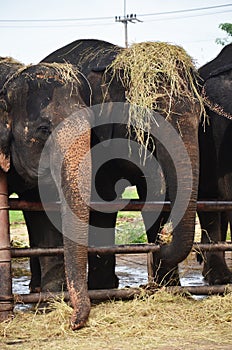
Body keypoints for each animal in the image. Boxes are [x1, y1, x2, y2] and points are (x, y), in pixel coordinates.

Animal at [41, 39, 201, 290]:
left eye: (199, 115)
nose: (164, 237)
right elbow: (102, 197)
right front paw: (103, 288)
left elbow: (154, 193)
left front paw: (170, 288)